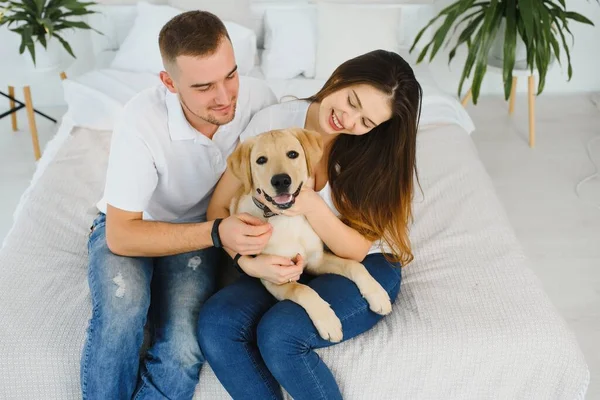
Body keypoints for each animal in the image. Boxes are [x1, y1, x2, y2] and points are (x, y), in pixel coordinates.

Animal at [227, 127, 392, 340]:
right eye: (261, 160)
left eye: (292, 154)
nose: (281, 180)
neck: (288, 219)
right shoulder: (275, 277)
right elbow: (303, 290)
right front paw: (328, 321)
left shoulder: (316, 261)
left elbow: (354, 265)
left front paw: (377, 294)